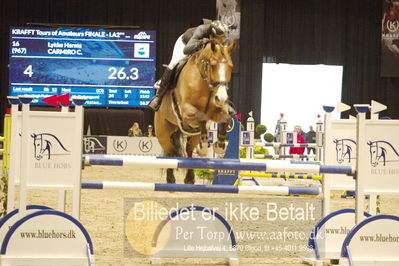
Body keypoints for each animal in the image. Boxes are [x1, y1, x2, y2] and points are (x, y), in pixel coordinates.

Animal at [155, 39, 236, 184]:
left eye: (231, 66)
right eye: (213, 65)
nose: (221, 98)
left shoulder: (217, 111)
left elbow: (225, 119)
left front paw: (220, 145)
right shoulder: (186, 111)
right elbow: (200, 116)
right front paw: (204, 146)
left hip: (191, 137)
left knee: (188, 150)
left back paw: (190, 178)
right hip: (163, 133)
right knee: (171, 152)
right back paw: (171, 178)